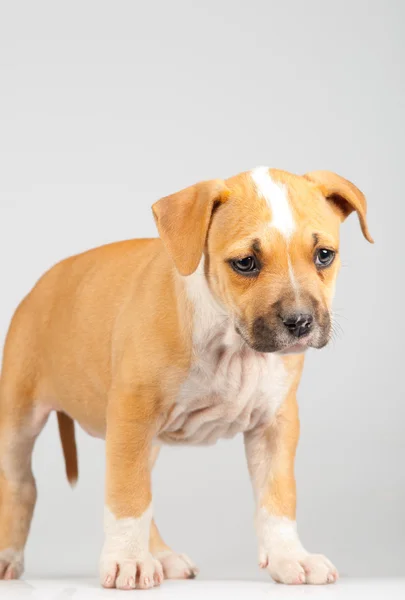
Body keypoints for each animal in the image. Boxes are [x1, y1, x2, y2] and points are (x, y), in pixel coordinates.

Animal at [0, 166, 372, 588]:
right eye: (246, 263)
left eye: (324, 255)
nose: (300, 322)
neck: (231, 344)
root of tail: (40, 285)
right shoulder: (132, 415)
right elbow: (128, 497)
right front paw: (128, 560)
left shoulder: (275, 424)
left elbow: (278, 496)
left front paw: (290, 556)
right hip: (20, 419)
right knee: (23, 485)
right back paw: (10, 555)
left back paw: (162, 556)